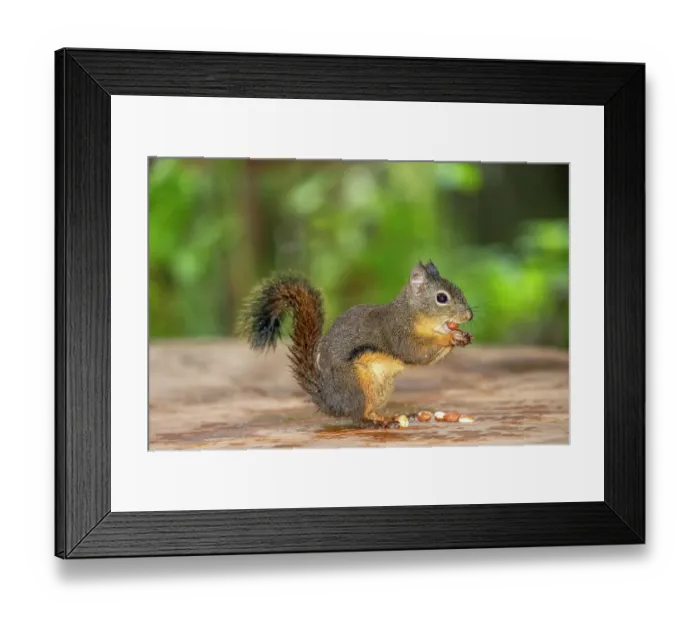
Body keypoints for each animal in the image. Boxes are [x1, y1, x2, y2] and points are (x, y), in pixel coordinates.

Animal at [239, 261, 473, 429]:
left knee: (368, 411)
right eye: (441, 298)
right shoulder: (397, 333)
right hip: (355, 384)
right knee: (358, 417)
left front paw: (462, 335)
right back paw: (375, 423)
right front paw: (450, 338)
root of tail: (329, 400)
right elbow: (417, 353)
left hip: (379, 389)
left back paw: (388, 417)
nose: (469, 315)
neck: (411, 314)